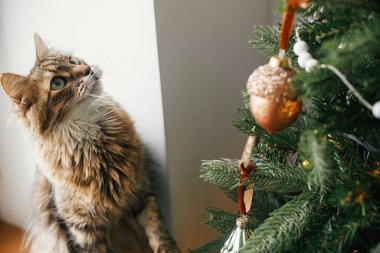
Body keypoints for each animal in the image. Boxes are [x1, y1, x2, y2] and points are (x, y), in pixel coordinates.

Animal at [0, 34, 180, 253]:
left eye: (74, 61)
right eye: (57, 83)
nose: (88, 69)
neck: (96, 141)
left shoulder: (141, 193)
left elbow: (160, 235)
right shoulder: (82, 230)